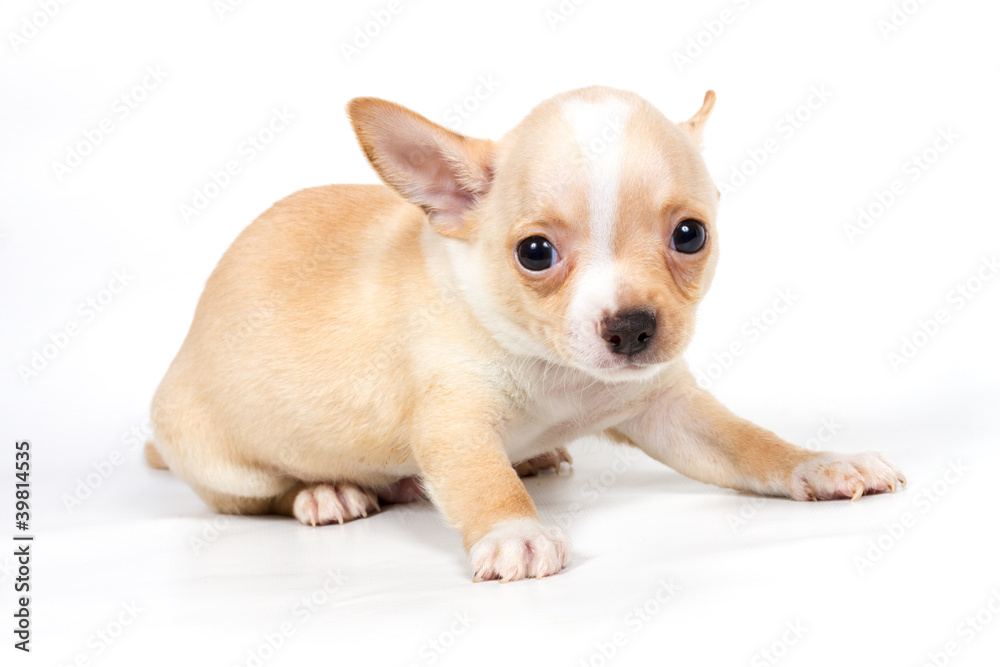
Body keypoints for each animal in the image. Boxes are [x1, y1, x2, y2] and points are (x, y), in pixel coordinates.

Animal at [148, 86, 908, 580]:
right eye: (535, 253)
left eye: (691, 235)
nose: (632, 327)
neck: (557, 368)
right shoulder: (454, 424)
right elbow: (484, 480)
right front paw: (516, 530)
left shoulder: (669, 410)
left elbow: (751, 443)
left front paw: (821, 462)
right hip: (224, 463)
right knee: (261, 496)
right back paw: (327, 492)